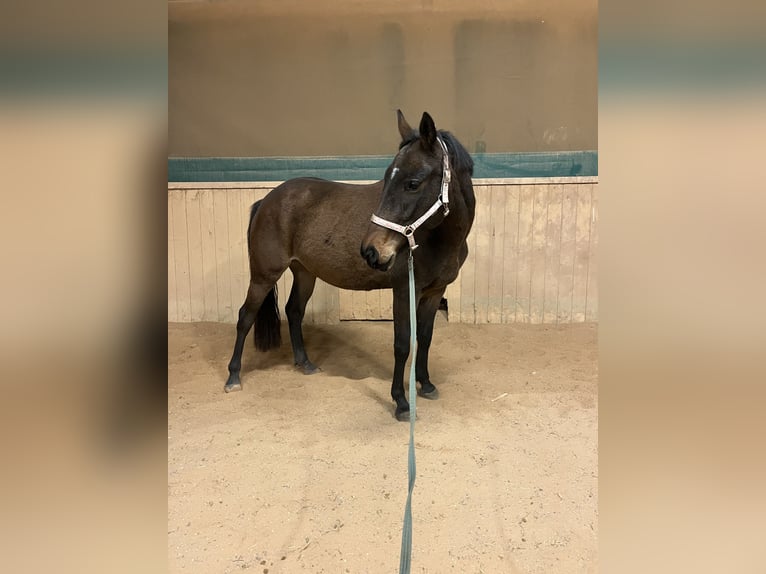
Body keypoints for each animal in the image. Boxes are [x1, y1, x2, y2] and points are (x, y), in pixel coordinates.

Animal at [224, 110, 475, 421]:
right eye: (386, 178)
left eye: (413, 183)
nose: (371, 251)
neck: (437, 238)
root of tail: (268, 199)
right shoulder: (404, 291)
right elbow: (403, 343)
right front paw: (401, 402)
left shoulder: (434, 292)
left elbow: (425, 338)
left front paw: (426, 384)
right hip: (263, 275)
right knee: (245, 317)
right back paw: (233, 377)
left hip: (305, 273)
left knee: (293, 311)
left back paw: (305, 363)